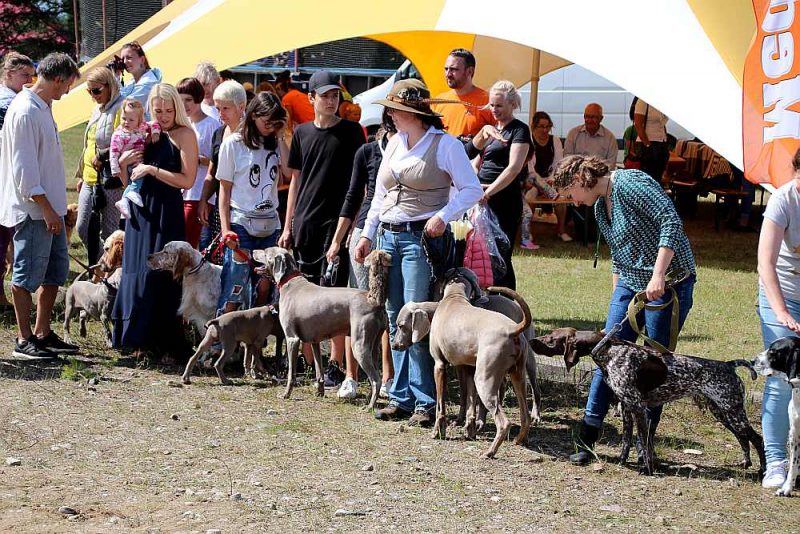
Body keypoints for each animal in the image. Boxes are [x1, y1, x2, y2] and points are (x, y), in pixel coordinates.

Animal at [250, 248, 388, 410]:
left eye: (266, 252)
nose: (252, 251)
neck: (290, 282)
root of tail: (373, 300)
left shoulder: (292, 339)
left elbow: (291, 372)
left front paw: (286, 394)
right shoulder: (314, 341)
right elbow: (318, 370)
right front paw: (320, 392)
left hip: (359, 345)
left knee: (376, 379)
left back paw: (369, 406)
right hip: (374, 345)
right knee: (376, 374)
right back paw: (367, 400)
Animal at [528, 330, 764, 478]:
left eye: (551, 338)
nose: (531, 341)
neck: (609, 351)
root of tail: (729, 365)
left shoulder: (639, 409)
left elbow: (643, 440)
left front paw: (647, 469)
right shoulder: (626, 408)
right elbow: (626, 440)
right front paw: (622, 461)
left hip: (732, 411)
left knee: (757, 439)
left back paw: (762, 471)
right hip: (722, 412)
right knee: (743, 438)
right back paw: (745, 463)